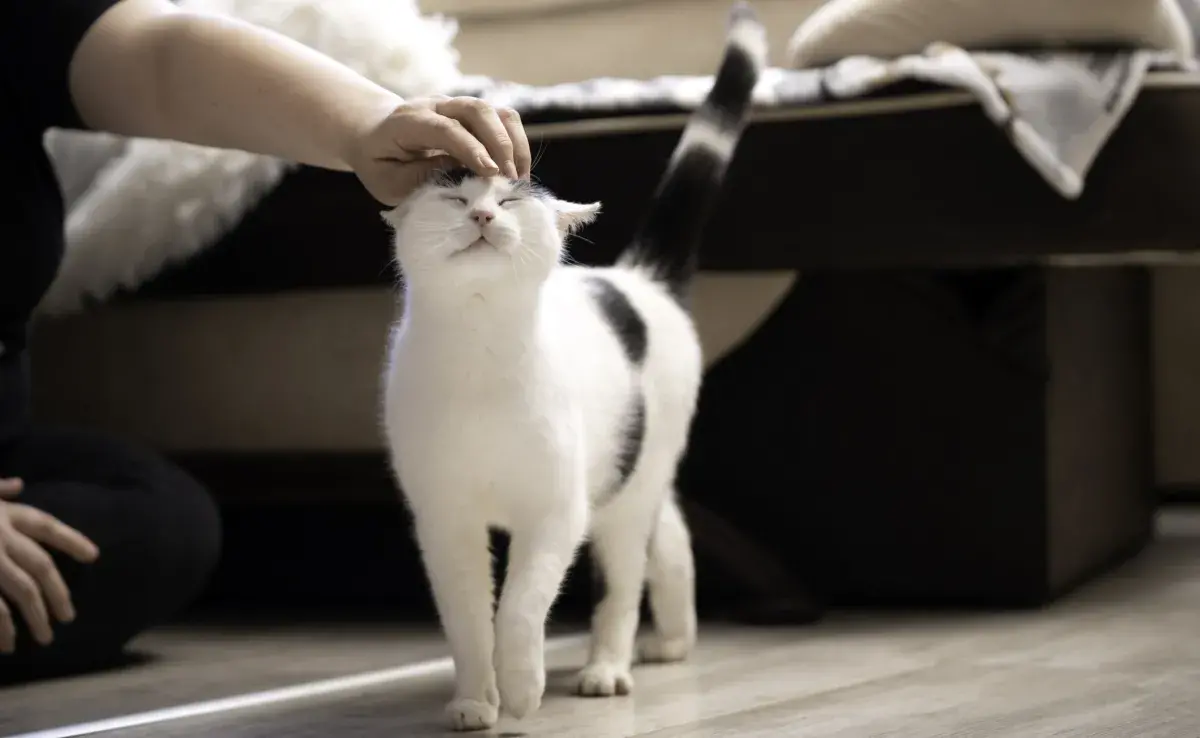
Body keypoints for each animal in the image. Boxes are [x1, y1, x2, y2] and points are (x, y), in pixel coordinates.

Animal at [379, 5, 763, 729]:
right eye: (455, 199)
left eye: (511, 201)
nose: (481, 213)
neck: (477, 351)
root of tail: (638, 278)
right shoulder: (445, 520)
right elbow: (468, 621)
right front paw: (475, 700)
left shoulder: (556, 511)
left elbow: (522, 607)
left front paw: (522, 686)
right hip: (629, 471)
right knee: (671, 537)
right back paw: (674, 639)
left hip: (624, 489)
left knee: (623, 582)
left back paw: (608, 668)